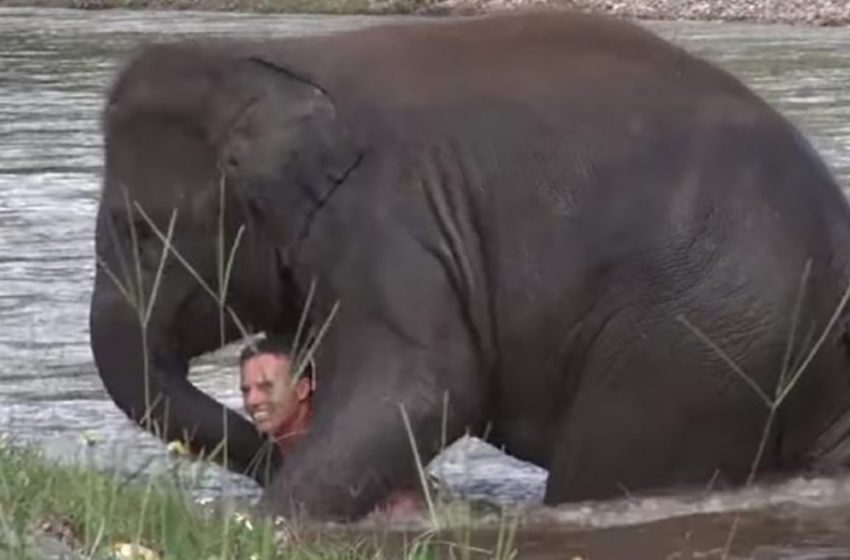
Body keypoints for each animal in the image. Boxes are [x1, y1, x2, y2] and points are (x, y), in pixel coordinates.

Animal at [90, 10, 850, 521]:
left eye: (140, 231)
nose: (270, 447)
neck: (267, 64)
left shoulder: (390, 222)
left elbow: (426, 386)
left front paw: (267, 525)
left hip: (692, 349)